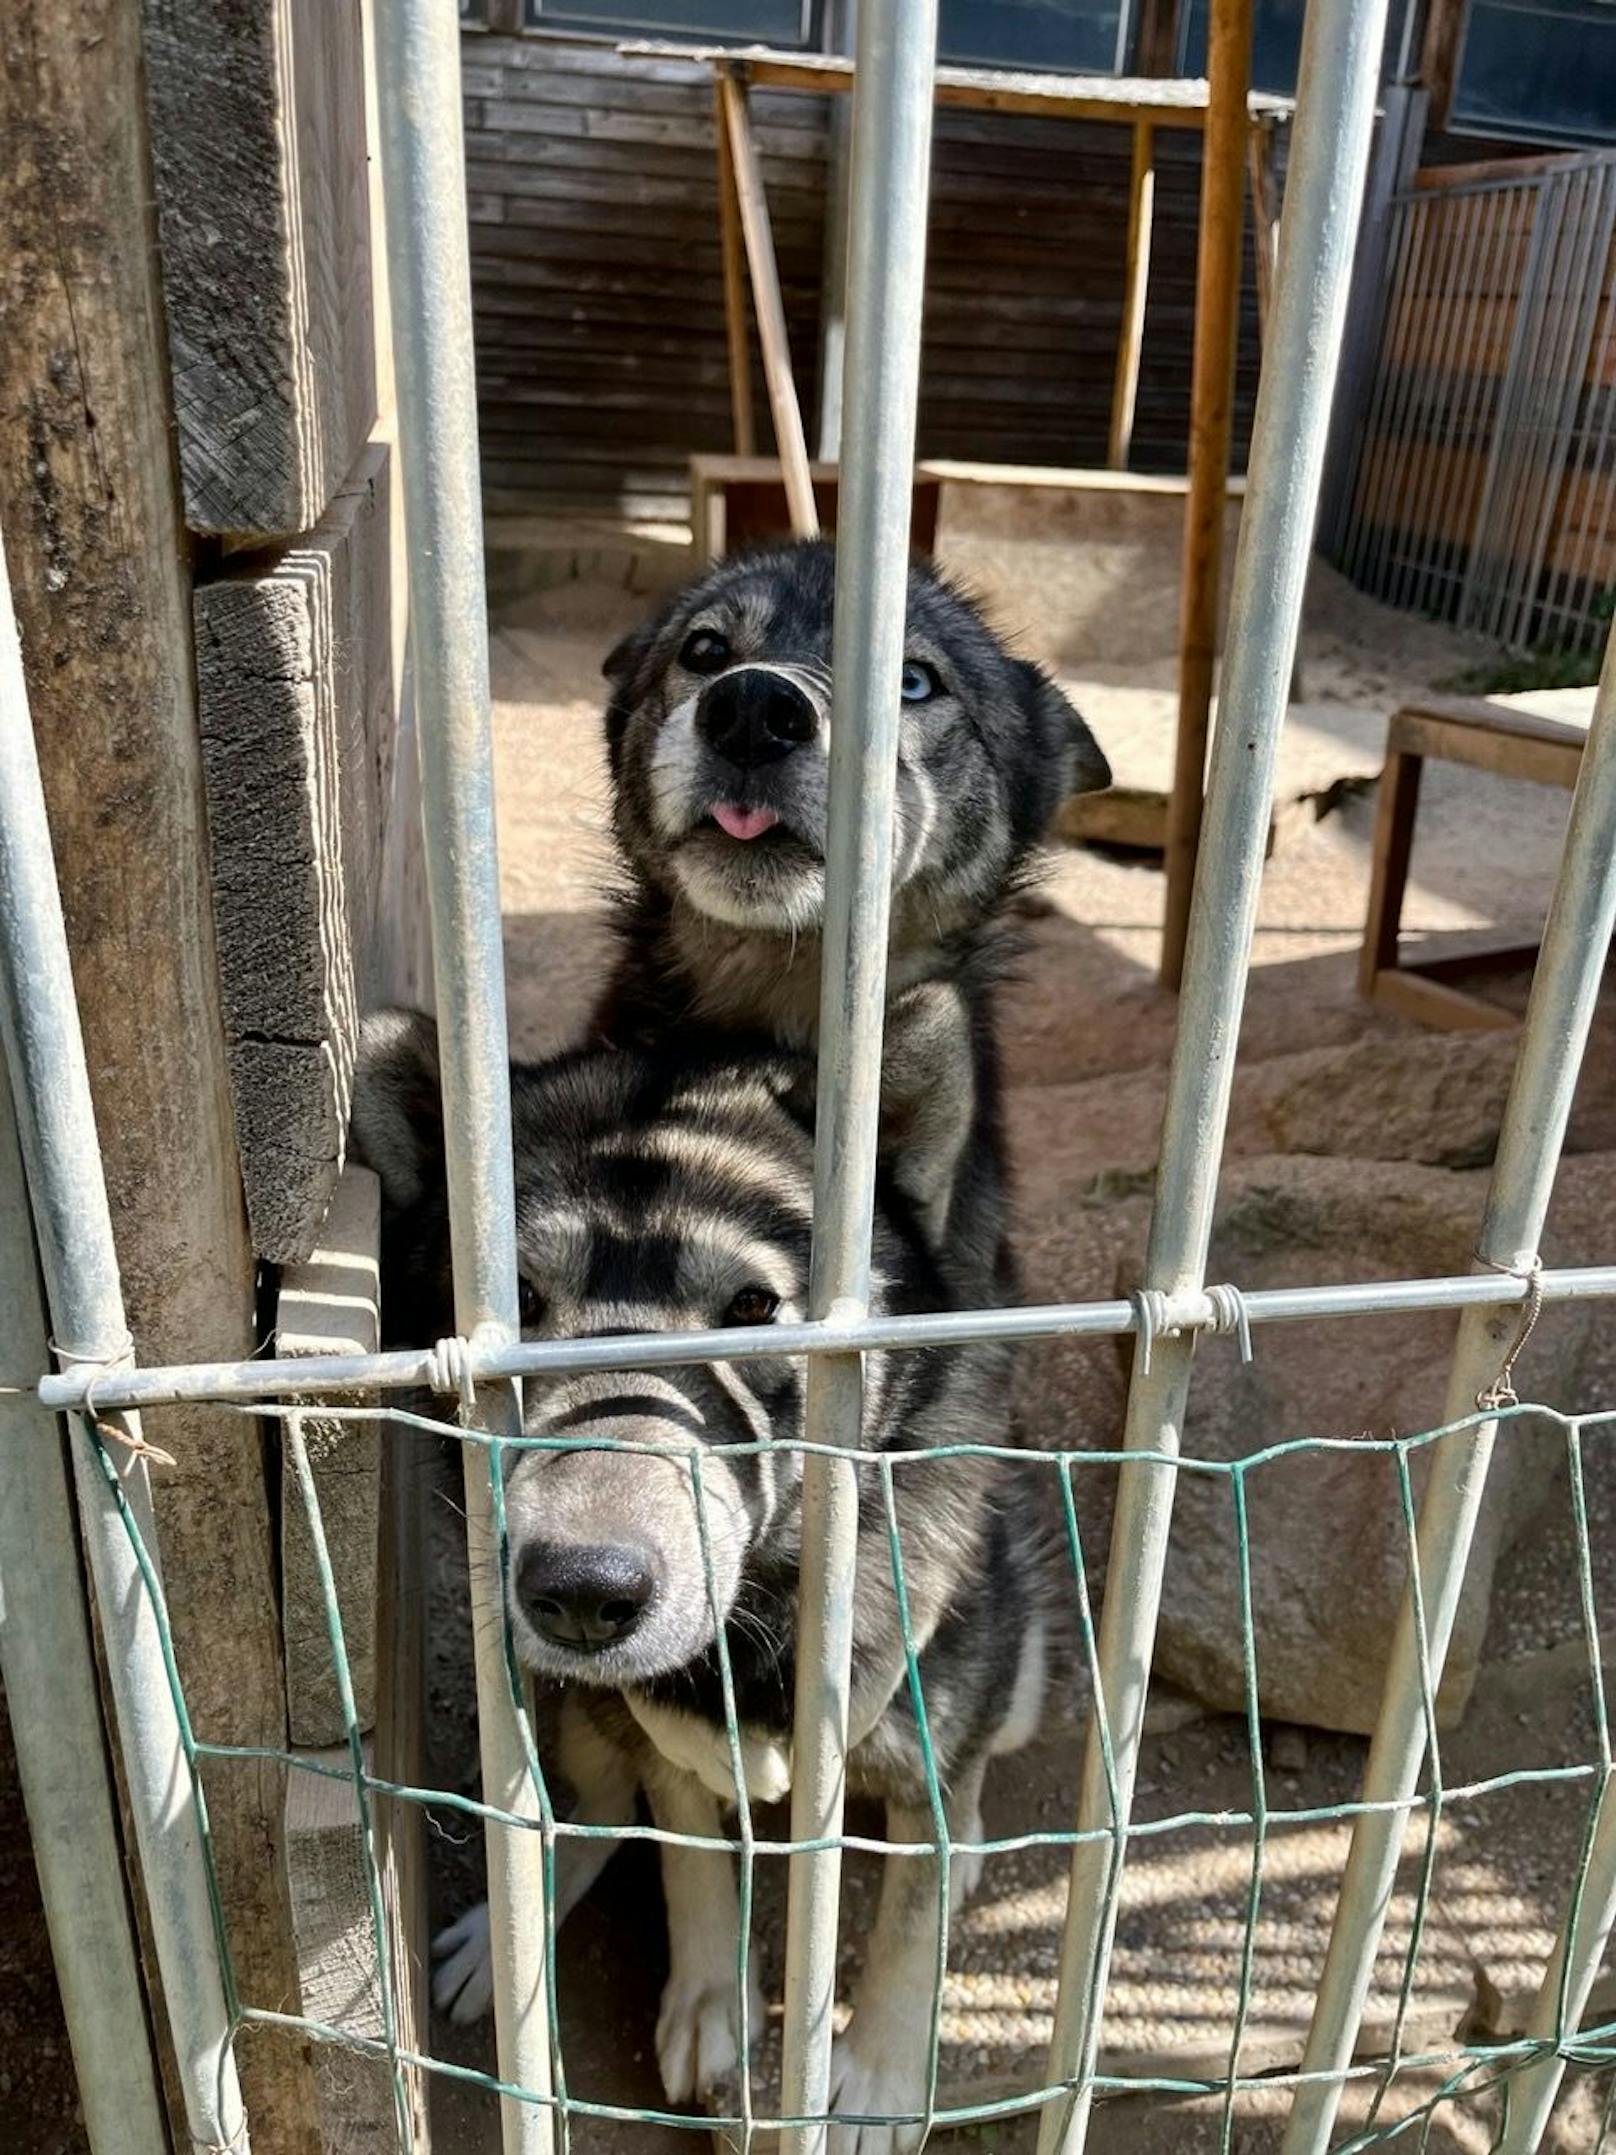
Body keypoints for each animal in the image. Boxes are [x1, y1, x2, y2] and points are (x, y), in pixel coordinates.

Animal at [355, 1012, 1064, 2155]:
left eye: (752, 1305)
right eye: (517, 1307)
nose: (580, 1594)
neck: (762, 1622)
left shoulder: (938, 1717)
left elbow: (910, 1917)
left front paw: (876, 2076)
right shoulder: (660, 1741)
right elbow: (686, 1853)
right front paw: (708, 2000)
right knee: (595, 1803)